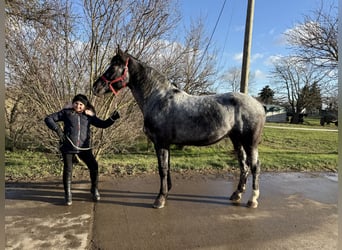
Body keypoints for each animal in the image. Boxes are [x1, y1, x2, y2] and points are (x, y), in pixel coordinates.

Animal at [92, 47, 266, 208]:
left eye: (113, 67)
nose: (95, 87)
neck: (158, 98)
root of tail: (260, 105)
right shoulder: (165, 144)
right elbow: (167, 167)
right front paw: (166, 192)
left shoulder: (160, 143)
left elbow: (162, 169)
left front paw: (160, 199)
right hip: (237, 140)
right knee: (243, 165)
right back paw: (237, 194)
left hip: (250, 143)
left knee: (255, 166)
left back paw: (252, 200)